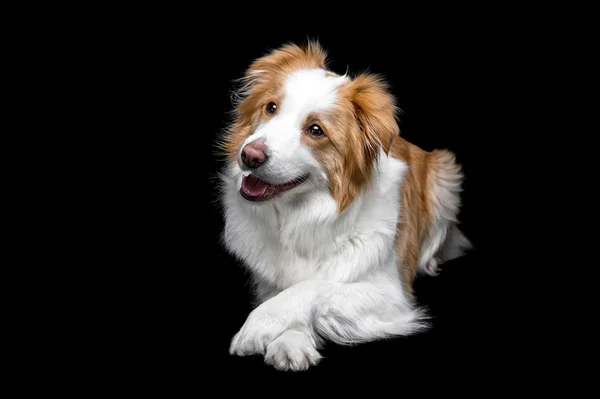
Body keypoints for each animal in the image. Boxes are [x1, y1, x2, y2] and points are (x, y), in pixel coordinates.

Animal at [217, 41, 474, 372]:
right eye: (271, 107)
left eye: (316, 130)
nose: (249, 155)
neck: (301, 216)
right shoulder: (269, 280)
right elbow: (289, 291)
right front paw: (291, 341)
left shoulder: (390, 295)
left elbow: (315, 286)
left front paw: (258, 325)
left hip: (444, 173)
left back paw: (428, 263)